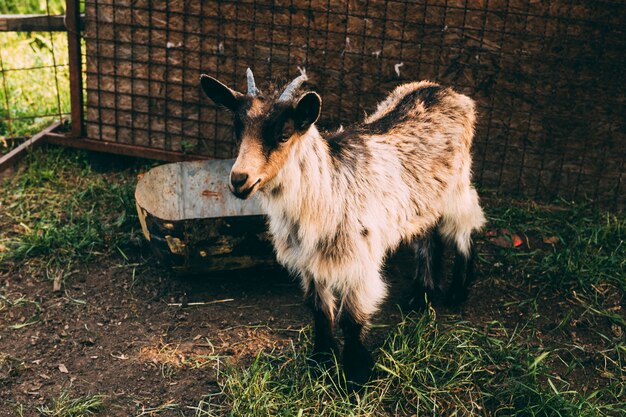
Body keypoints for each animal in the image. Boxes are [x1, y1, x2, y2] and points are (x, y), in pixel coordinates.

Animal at [201, 68, 488, 384]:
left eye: (284, 134)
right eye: (238, 130)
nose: (240, 180)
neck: (327, 190)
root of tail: (445, 90)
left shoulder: (359, 259)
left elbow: (352, 319)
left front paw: (356, 373)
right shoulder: (309, 260)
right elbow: (320, 310)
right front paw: (321, 360)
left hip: (456, 187)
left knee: (466, 224)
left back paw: (457, 291)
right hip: (422, 199)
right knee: (428, 234)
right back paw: (420, 296)